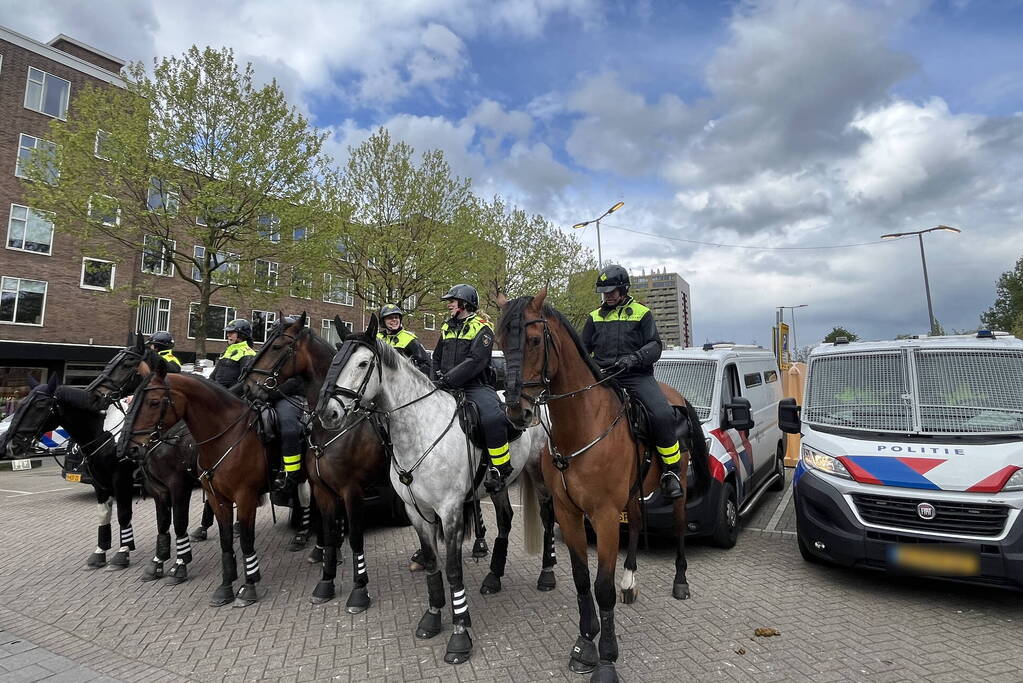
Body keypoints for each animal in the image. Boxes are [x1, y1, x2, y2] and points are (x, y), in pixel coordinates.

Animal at [119, 361, 270, 609]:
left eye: (153, 402)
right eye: (133, 400)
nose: (129, 448)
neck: (227, 436)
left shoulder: (238, 495)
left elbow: (182, 523)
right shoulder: (195, 494)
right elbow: (170, 526)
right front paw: (225, 585)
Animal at [497, 288, 712, 683]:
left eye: (534, 340)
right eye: (501, 343)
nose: (517, 412)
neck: (581, 428)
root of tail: (674, 395)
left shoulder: (605, 516)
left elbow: (602, 588)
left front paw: (607, 658)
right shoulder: (569, 514)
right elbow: (583, 580)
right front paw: (585, 645)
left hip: (674, 492)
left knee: (677, 527)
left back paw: (680, 581)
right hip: (633, 492)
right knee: (638, 524)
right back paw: (630, 579)